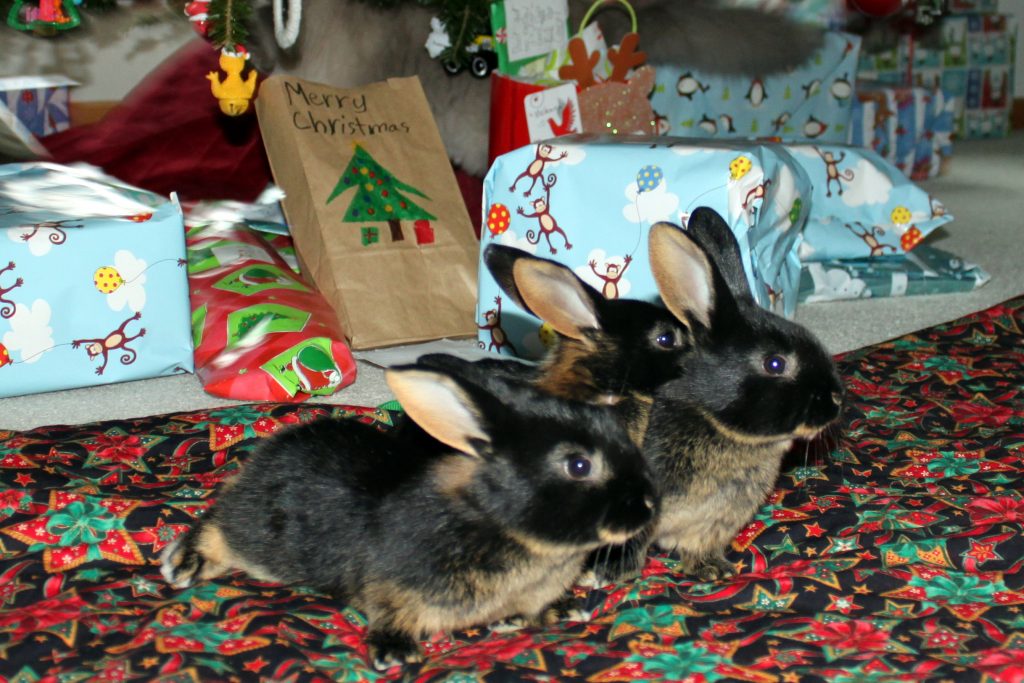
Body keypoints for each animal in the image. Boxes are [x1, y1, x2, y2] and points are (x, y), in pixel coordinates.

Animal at [160, 360, 658, 670]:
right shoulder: (390, 587)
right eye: (579, 465)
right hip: (260, 536)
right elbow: (388, 612)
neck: (498, 520)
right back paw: (183, 564)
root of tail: (270, 451)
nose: (650, 503)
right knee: (216, 525)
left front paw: (558, 610)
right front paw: (397, 654)